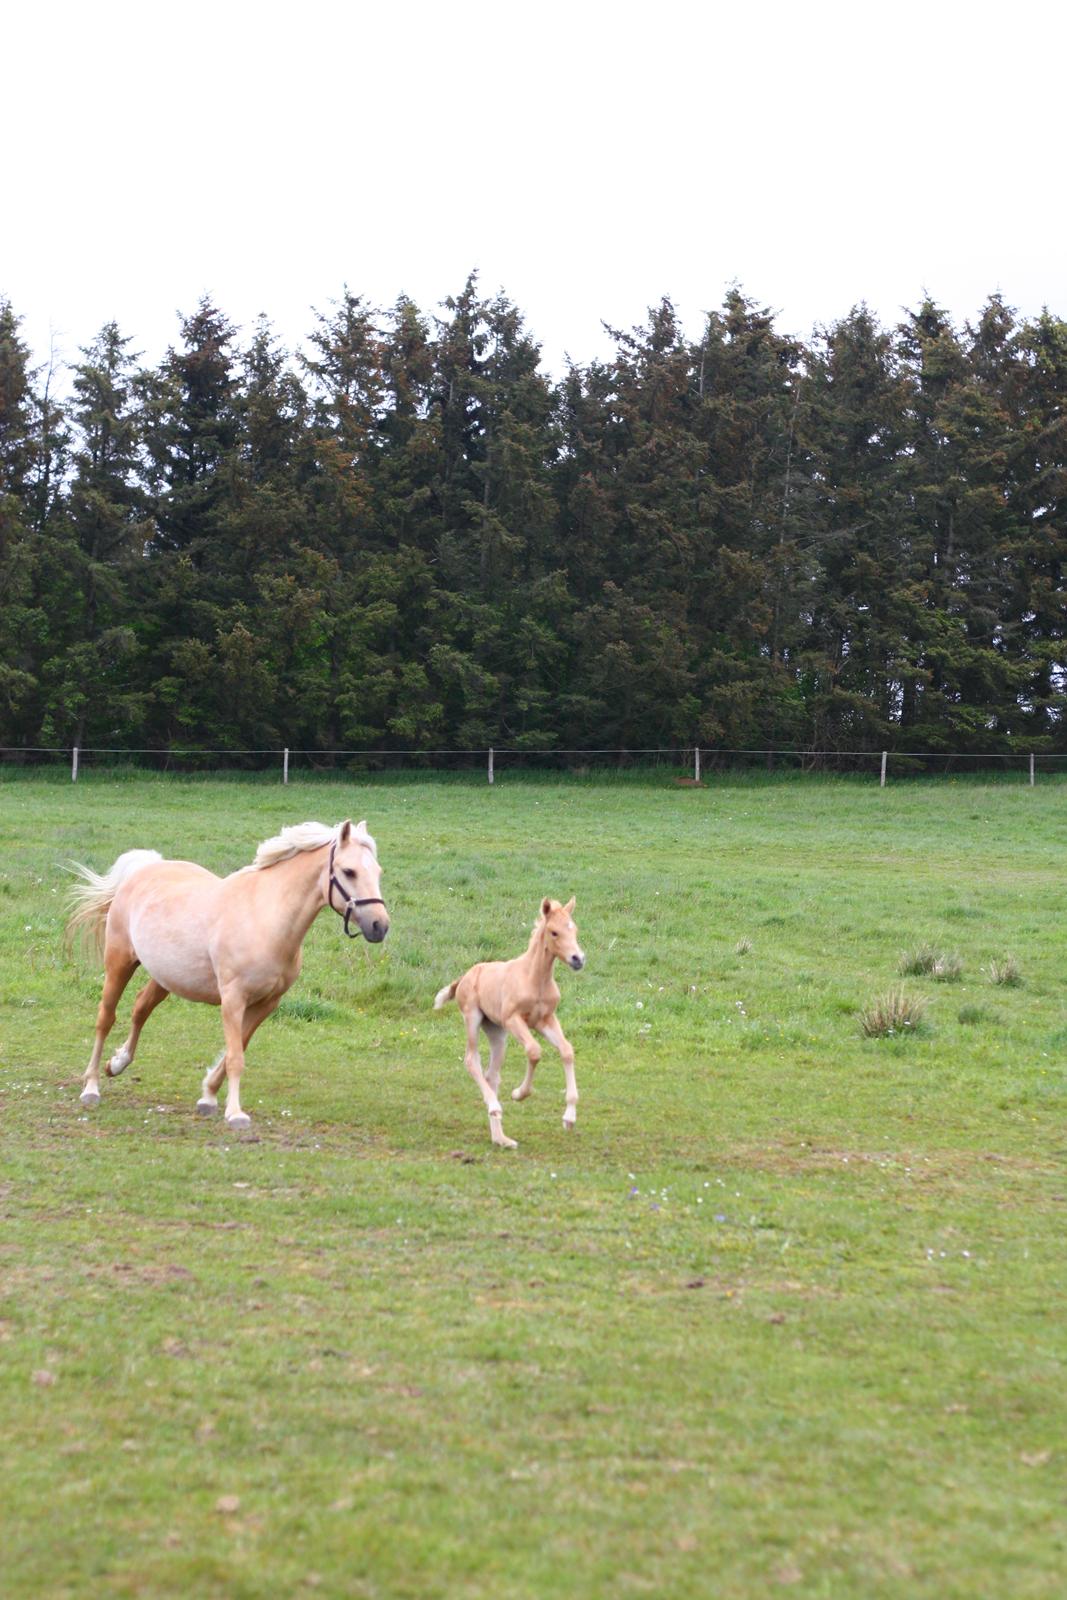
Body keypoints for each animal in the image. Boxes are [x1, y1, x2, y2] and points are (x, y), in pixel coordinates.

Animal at [66, 825, 385, 1126]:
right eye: (349, 871)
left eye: (378, 871)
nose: (380, 926)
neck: (265, 919)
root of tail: (146, 867)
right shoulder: (233, 999)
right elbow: (235, 1057)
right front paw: (235, 1114)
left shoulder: (267, 1003)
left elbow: (238, 1047)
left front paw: (208, 1096)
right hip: (119, 962)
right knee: (105, 1018)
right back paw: (91, 1087)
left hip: (165, 976)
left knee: (141, 1008)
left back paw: (117, 1064)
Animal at [431, 902, 585, 1152]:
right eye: (554, 932)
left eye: (575, 929)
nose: (578, 959)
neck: (534, 979)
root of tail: (465, 976)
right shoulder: (514, 1019)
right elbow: (534, 1051)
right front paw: (519, 1094)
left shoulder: (545, 1020)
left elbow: (567, 1050)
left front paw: (569, 1118)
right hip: (473, 1017)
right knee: (471, 1060)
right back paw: (494, 1107)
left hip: (497, 1032)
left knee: (492, 1074)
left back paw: (500, 1138)